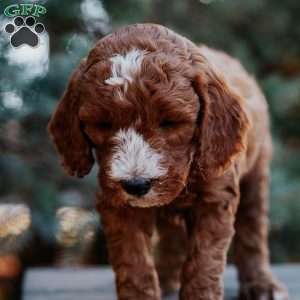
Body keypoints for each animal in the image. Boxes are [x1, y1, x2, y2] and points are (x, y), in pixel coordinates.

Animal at [47, 23, 288, 300]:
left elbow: (204, 259)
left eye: (169, 122)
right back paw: (166, 277)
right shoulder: (118, 204)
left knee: (252, 229)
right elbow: (133, 260)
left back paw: (262, 284)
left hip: (256, 172)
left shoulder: (216, 195)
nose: (136, 185)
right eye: (103, 124)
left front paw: (200, 294)